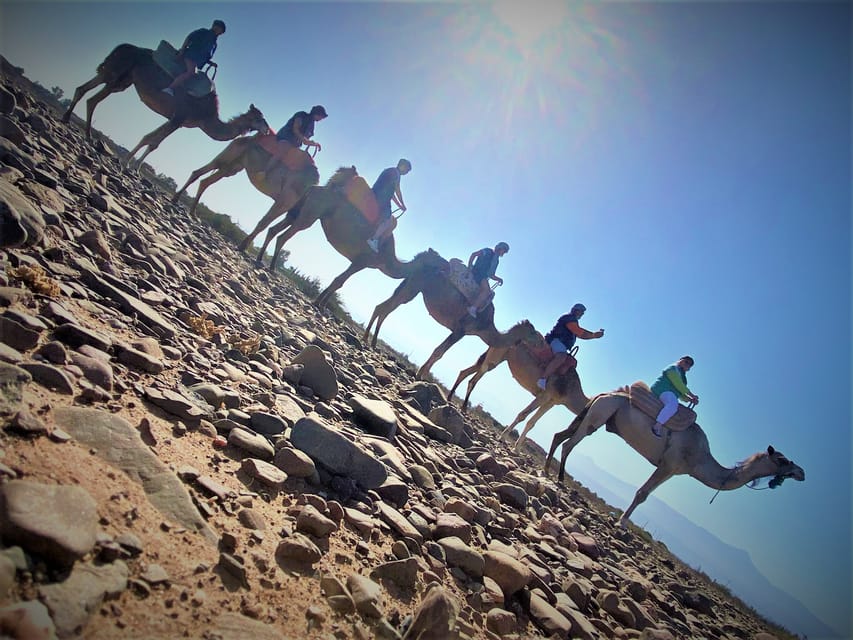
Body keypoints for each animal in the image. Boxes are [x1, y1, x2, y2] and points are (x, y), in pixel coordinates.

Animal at [61, 44, 269, 168]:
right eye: (260, 118)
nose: (267, 130)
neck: (206, 116)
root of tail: (124, 47)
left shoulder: (178, 121)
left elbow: (153, 142)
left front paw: (132, 166)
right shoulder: (179, 117)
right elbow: (151, 140)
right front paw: (129, 164)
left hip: (119, 77)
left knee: (84, 91)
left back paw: (69, 121)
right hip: (118, 76)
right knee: (93, 98)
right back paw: (85, 133)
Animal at [172, 135, 321, 254]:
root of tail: (244, 137)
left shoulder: (289, 207)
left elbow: (267, 224)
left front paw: (243, 246)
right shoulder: (285, 200)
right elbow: (264, 222)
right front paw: (242, 246)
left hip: (232, 167)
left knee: (205, 180)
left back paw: (191, 211)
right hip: (228, 157)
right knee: (199, 172)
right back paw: (177, 200)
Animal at [363, 263, 540, 379]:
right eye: (534, 333)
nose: (541, 343)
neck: (485, 327)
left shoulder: (459, 331)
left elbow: (439, 352)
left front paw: (420, 373)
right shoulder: (461, 330)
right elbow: (439, 352)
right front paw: (421, 375)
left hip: (410, 285)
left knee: (383, 307)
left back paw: (368, 340)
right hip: (414, 286)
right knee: (387, 307)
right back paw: (369, 341)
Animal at [448, 341, 589, 450]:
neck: (571, 391)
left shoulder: (552, 401)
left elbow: (532, 423)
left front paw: (517, 448)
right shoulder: (545, 394)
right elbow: (523, 415)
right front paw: (502, 437)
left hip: (498, 356)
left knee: (464, 372)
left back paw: (450, 398)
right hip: (495, 356)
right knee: (473, 380)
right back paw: (463, 407)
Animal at [544, 392, 806, 527]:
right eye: (782, 460)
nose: (801, 473)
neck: (700, 458)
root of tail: (606, 394)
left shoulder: (673, 470)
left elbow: (645, 494)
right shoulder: (670, 464)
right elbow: (642, 493)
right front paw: (621, 523)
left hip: (593, 414)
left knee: (559, 435)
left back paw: (547, 470)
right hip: (598, 415)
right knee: (569, 443)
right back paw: (559, 478)